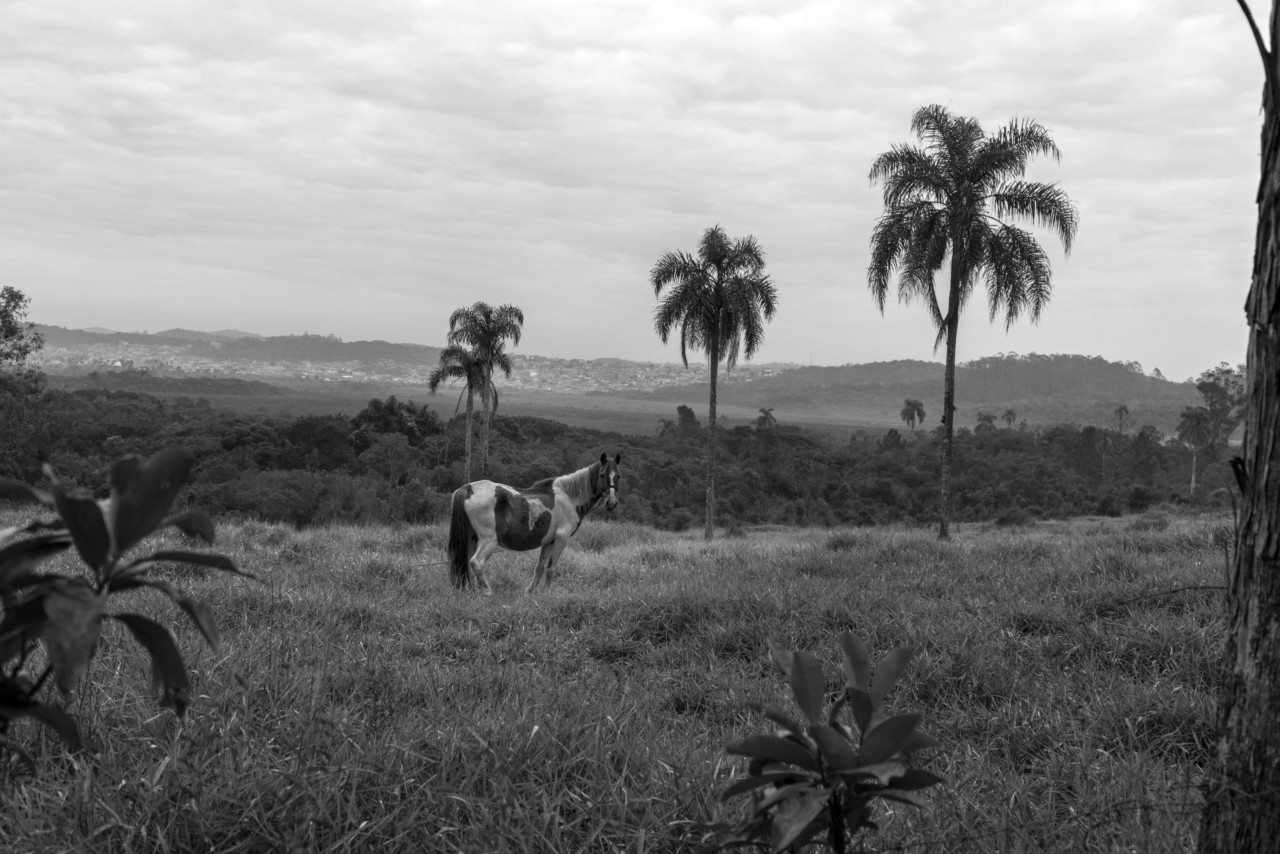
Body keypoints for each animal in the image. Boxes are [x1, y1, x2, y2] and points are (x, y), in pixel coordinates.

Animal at [447, 452, 621, 594]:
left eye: (618, 476)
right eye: (602, 474)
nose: (611, 503)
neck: (568, 496)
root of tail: (468, 489)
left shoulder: (548, 541)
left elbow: (540, 567)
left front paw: (531, 592)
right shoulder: (561, 539)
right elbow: (551, 569)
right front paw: (546, 593)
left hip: (471, 538)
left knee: (467, 565)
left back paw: (473, 593)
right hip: (488, 541)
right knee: (476, 563)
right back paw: (488, 592)